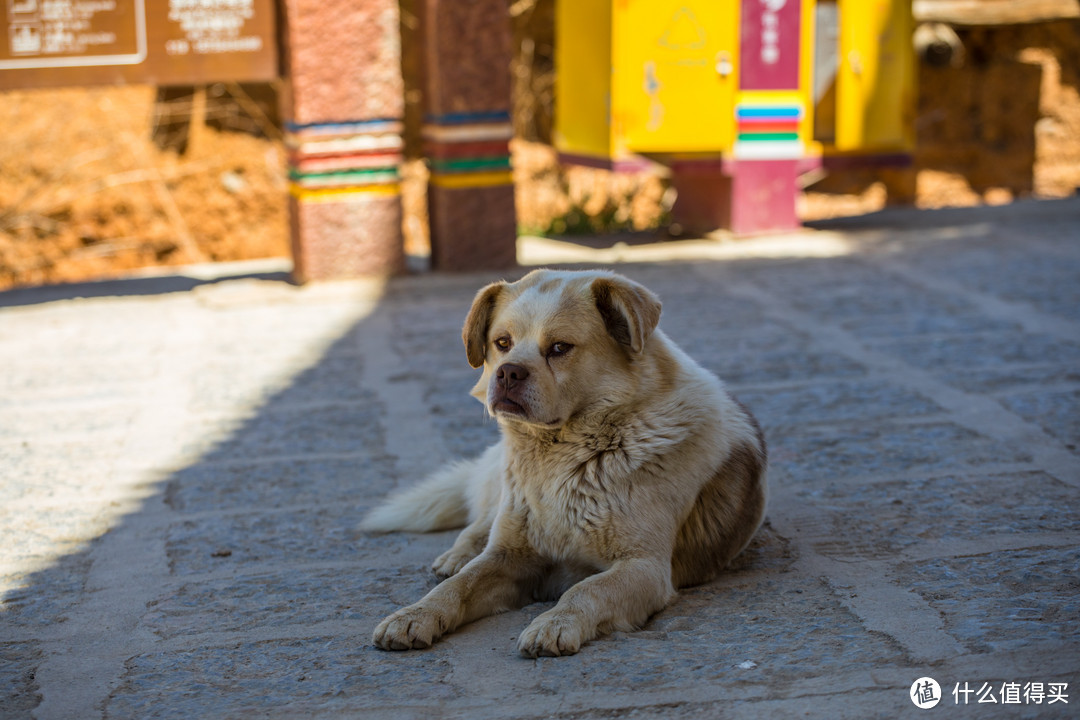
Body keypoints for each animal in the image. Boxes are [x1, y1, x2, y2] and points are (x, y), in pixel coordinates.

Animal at [365, 269, 768, 660]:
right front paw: (415, 615)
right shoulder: (509, 554)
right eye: (502, 343)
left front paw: (555, 624)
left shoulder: (645, 568)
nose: (507, 373)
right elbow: (458, 585)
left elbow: (587, 588)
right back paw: (457, 555)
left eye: (559, 348)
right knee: (479, 524)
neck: (565, 456)